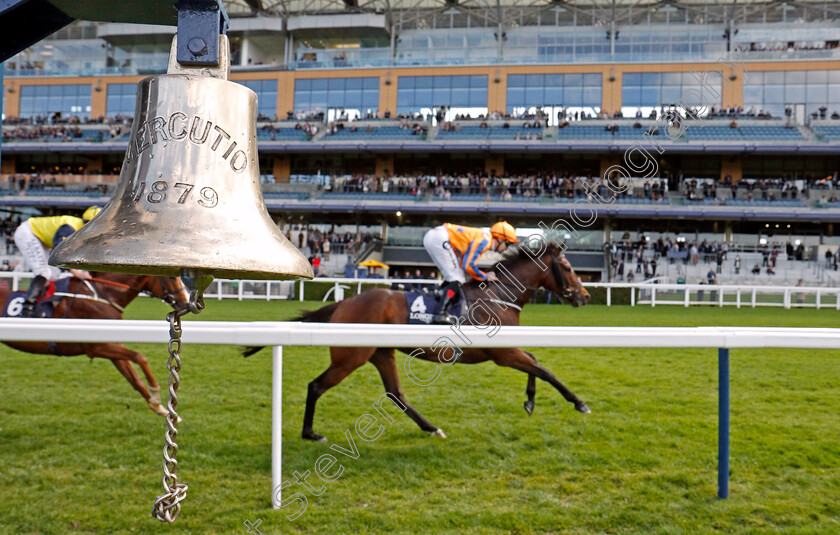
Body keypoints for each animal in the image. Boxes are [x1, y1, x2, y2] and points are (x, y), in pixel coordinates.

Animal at [0, 274, 189, 416]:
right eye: (172, 277)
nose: (186, 303)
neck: (104, 295)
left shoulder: (112, 346)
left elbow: (134, 379)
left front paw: (159, 408)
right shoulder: (98, 347)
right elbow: (140, 357)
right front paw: (156, 395)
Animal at [246, 244, 592, 444]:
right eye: (569, 268)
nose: (586, 295)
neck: (498, 296)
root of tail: (344, 303)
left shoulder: (509, 349)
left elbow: (536, 363)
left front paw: (530, 401)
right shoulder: (504, 353)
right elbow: (544, 369)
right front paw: (579, 402)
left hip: (381, 354)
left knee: (395, 394)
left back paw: (431, 428)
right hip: (350, 358)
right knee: (316, 386)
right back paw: (310, 433)